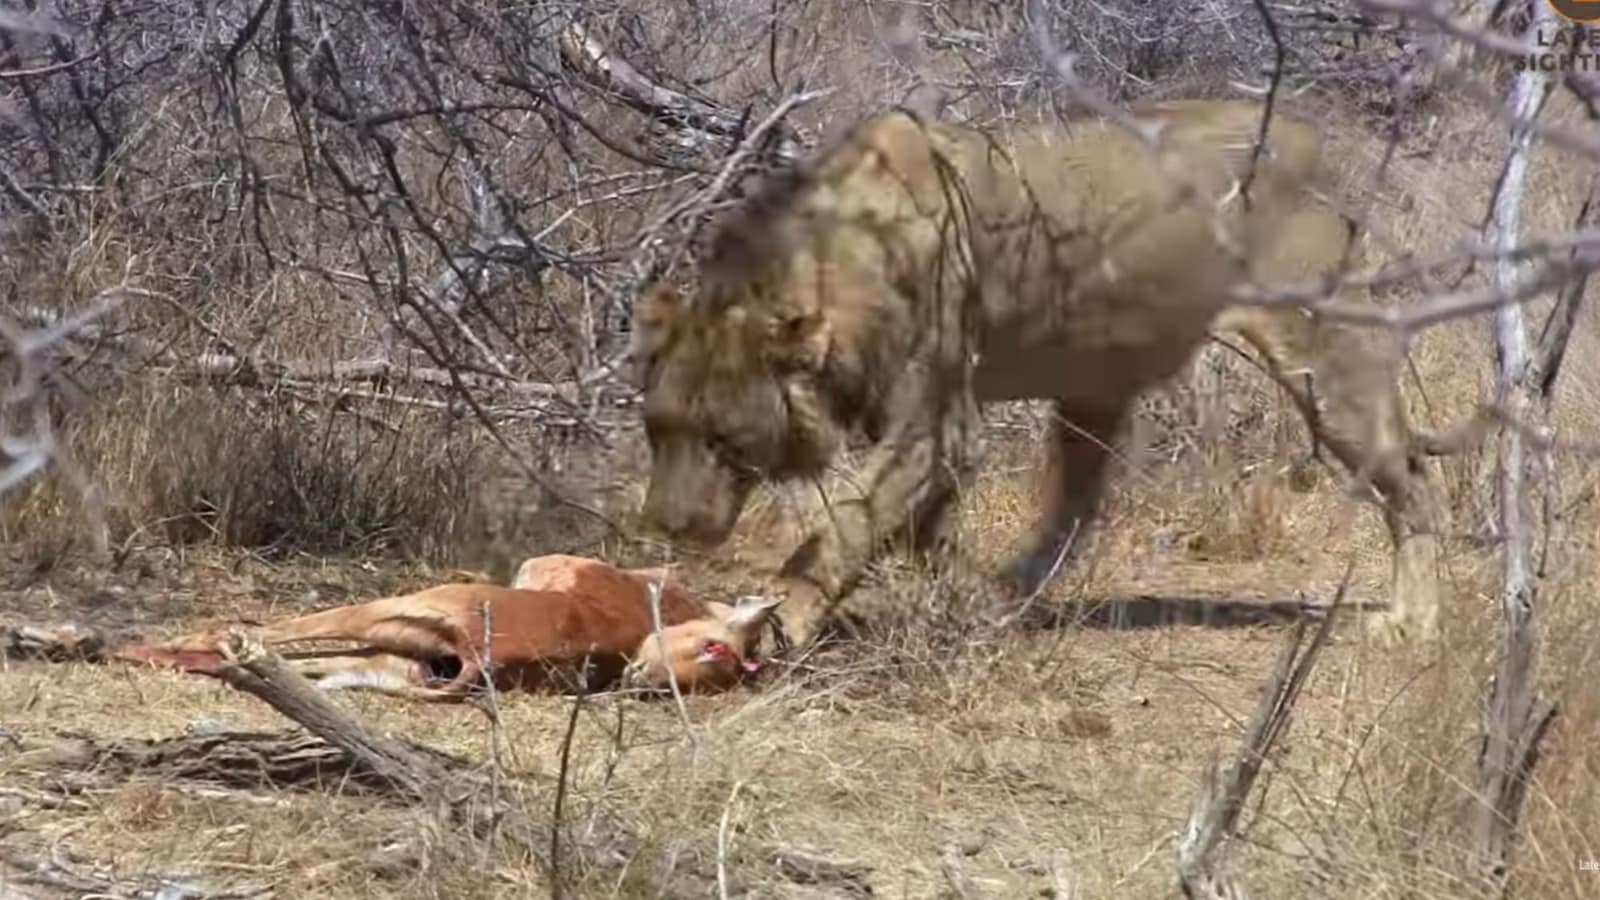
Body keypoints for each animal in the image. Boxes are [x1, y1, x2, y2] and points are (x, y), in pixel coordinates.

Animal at [633, 98, 1452, 643]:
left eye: (725, 440)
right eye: (656, 430)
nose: (667, 526)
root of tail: (1320, 142)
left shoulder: (938, 425)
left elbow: (840, 527)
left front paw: (782, 623)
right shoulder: (938, 432)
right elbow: (917, 530)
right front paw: (962, 593)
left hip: (1321, 354)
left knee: (1410, 477)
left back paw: (1412, 620)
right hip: (1092, 391)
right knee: (1076, 507)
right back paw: (1016, 592)